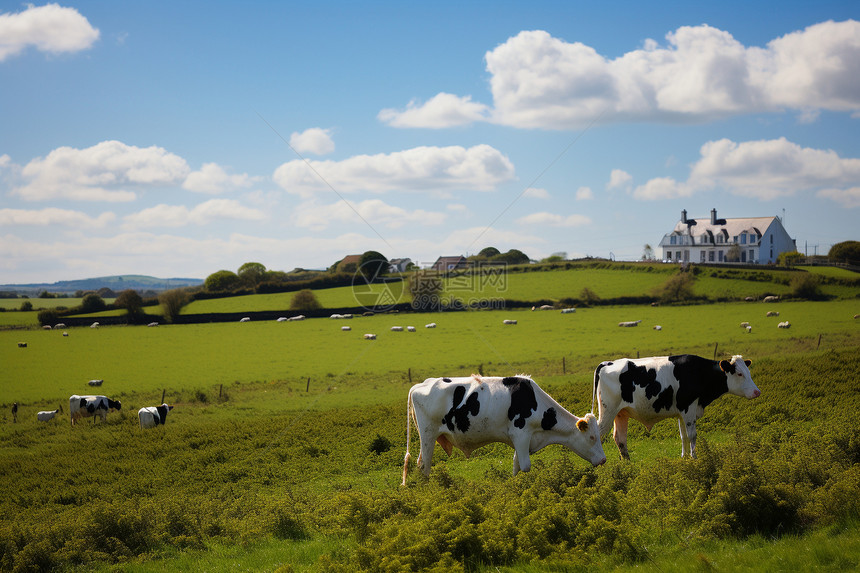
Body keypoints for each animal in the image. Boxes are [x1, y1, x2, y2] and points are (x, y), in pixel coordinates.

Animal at [402, 374, 604, 484]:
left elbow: (516, 465)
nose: (603, 460)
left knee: (420, 463)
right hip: (428, 435)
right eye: (592, 437)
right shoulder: (521, 434)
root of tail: (420, 384)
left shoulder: (521, 440)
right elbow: (525, 466)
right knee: (425, 465)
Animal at [592, 354, 760, 460]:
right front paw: (694, 457)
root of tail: (607, 363)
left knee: (620, 438)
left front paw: (684, 457)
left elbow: (683, 436)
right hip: (607, 412)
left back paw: (627, 462)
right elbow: (692, 435)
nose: (757, 392)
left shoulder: (682, 412)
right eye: (739, 374)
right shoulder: (689, 408)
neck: (698, 372)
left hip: (621, 414)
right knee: (596, 434)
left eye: (748, 371)